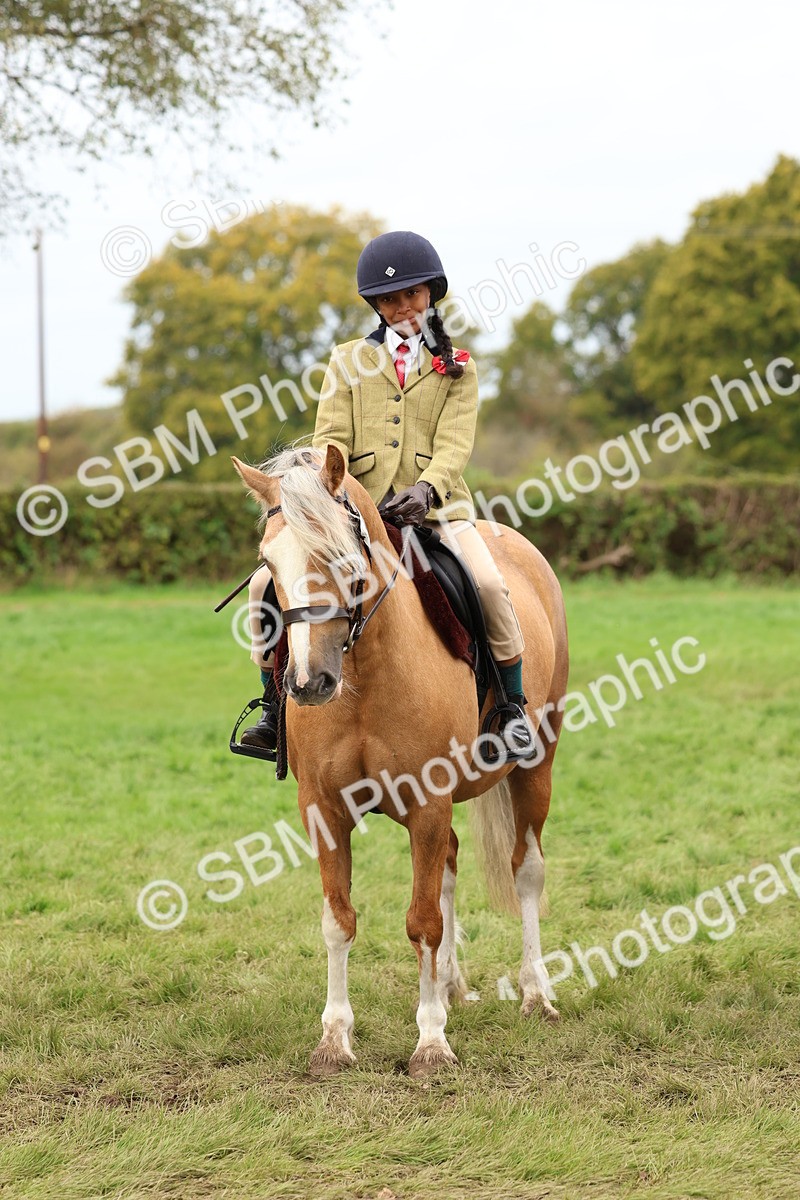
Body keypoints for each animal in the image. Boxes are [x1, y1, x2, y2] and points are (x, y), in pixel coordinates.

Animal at [232, 444, 569, 1078]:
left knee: (527, 870)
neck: (363, 673)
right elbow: (339, 919)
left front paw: (431, 1043)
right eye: (269, 561)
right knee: (453, 866)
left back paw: (536, 993)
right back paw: (452, 985)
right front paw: (335, 1038)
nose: (310, 683)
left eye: (342, 553)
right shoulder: (324, 810)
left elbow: (423, 922)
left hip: (537, 763)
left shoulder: (429, 803)